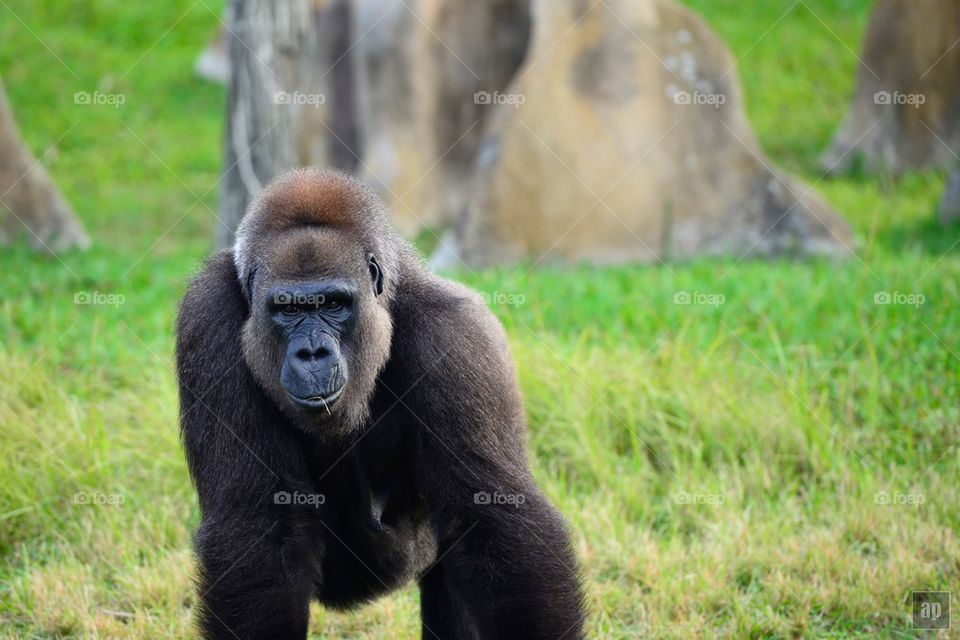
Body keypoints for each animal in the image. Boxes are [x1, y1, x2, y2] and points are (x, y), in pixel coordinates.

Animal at [176, 169, 585, 639]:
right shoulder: (207, 315)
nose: (311, 353)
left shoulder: (454, 335)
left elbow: (492, 515)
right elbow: (257, 524)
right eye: (288, 309)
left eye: (334, 304)